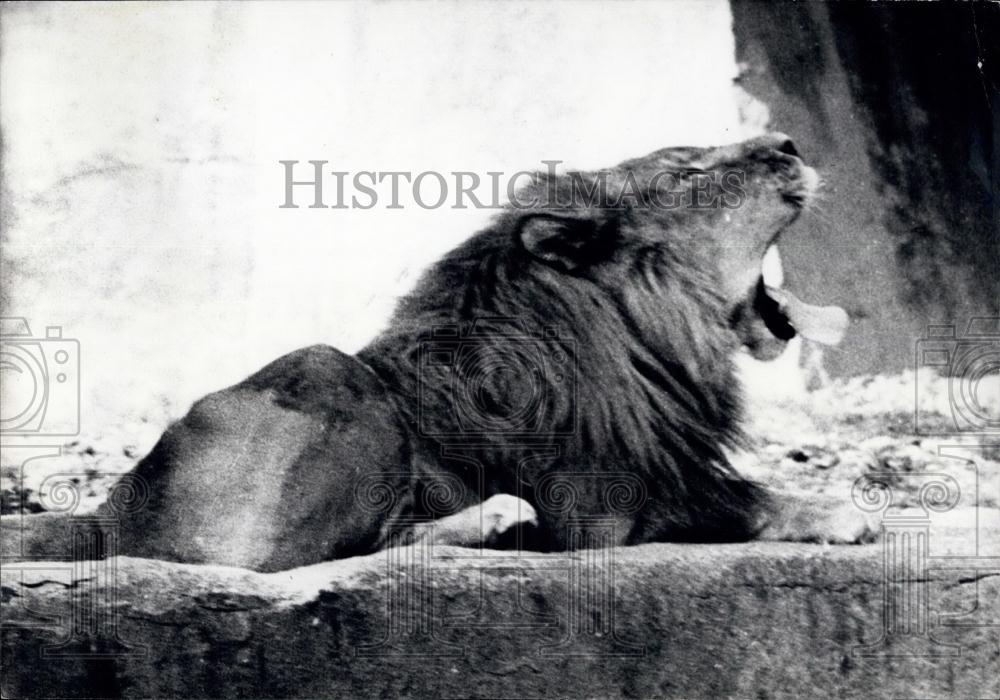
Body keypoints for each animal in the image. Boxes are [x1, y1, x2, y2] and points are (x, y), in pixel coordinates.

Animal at [107, 134, 876, 572]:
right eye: (686, 173)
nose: (788, 142)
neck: (649, 333)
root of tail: (113, 514)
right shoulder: (598, 512)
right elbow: (741, 498)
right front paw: (841, 513)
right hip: (328, 368)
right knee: (312, 557)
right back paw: (499, 516)